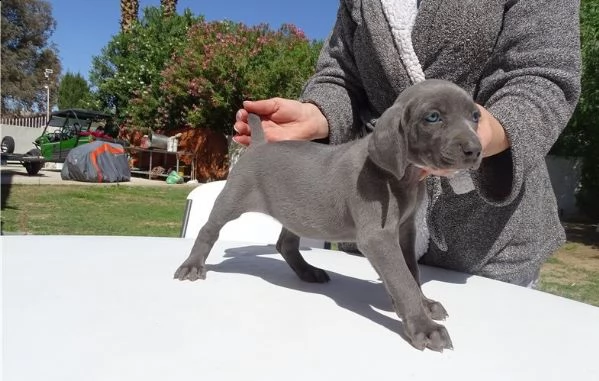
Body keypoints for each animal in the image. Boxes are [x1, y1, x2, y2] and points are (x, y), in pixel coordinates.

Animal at [176, 78, 486, 352]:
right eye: (433, 117)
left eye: (475, 116)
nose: (475, 150)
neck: (403, 177)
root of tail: (260, 145)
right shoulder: (378, 236)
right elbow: (402, 279)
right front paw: (423, 326)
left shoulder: (405, 230)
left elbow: (412, 272)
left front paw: (424, 304)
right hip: (233, 198)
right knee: (209, 229)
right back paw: (192, 265)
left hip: (295, 210)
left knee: (285, 244)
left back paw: (308, 271)